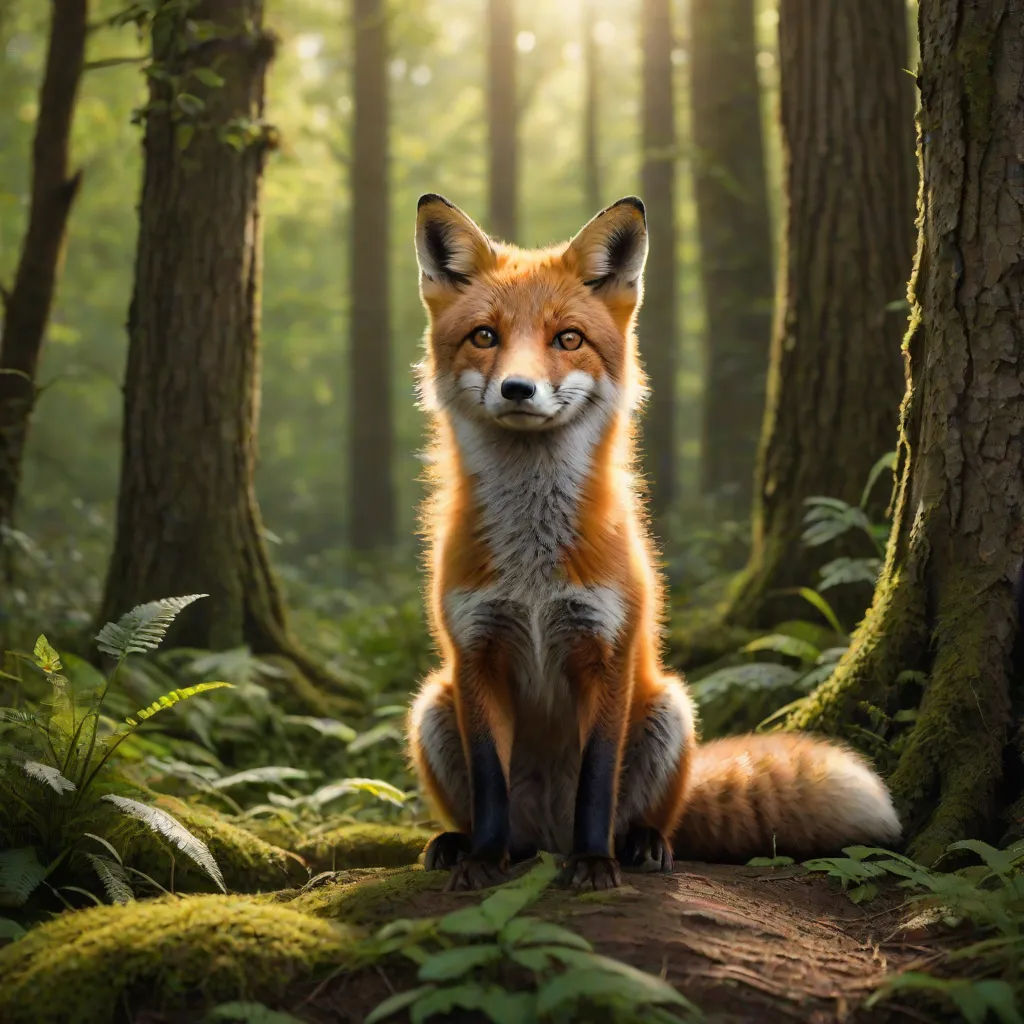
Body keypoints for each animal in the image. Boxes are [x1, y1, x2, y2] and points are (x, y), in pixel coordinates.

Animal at [407, 193, 900, 891]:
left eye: (568, 339)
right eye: (484, 336)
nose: (518, 389)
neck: (533, 572)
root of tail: (547, 835)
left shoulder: (606, 651)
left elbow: (596, 781)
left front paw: (594, 865)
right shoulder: (476, 654)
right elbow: (489, 781)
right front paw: (482, 861)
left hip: (670, 706)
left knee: (644, 816)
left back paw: (638, 844)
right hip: (433, 704)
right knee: (500, 819)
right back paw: (463, 844)